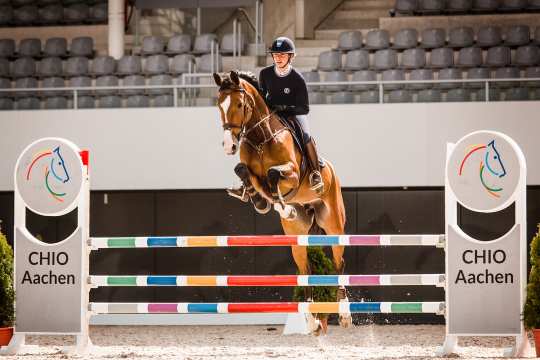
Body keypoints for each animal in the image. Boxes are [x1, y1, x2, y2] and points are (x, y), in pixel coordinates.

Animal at [213, 70, 352, 334]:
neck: (261, 137)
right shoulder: (249, 169)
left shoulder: (294, 174)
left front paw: (281, 205)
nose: (228, 145)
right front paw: (260, 200)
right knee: (305, 269)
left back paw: (345, 314)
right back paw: (312, 321)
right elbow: (244, 172)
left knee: (339, 263)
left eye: (239, 104)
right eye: (219, 105)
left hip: (334, 225)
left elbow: (273, 174)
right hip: (296, 237)